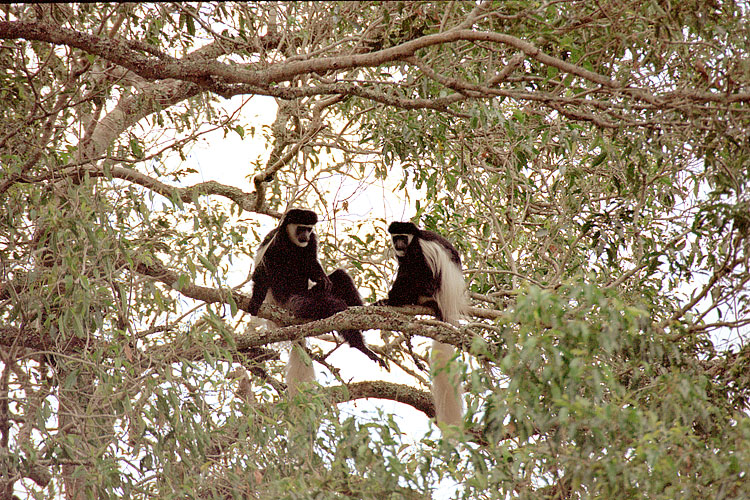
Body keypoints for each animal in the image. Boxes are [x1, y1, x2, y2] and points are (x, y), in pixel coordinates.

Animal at [250, 207, 388, 394]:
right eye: (301, 228)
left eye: (309, 229)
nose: (305, 236)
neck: (291, 241)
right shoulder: (275, 244)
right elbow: (262, 273)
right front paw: (254, 302)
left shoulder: (312, 242)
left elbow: (312, 264)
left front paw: (323, 279)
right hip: (293, 305)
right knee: (327, 305)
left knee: (341, 277)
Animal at [378, 222, 468, 426]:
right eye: (396, 237)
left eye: (404, 237)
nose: (400, 244)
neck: (415, 238)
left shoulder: (417, 249)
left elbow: (412, 269)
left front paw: (390, 299)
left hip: (430, 285)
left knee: (416, 271)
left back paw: (399, 300)